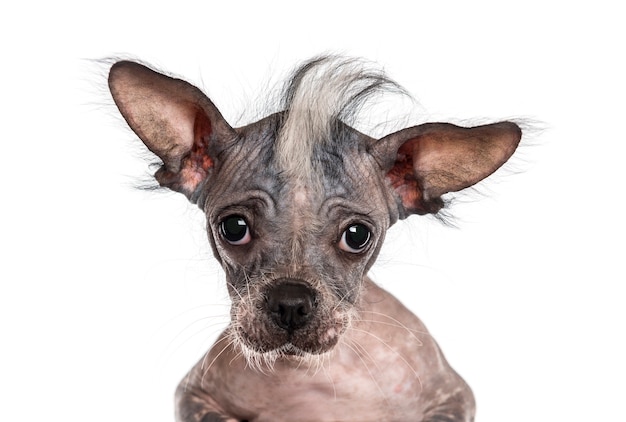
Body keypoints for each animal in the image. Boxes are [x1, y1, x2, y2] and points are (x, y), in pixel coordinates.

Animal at [109, 56, 520, 422]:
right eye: (234, 228)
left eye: (357, 235)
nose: (290, 302)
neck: (312, 373)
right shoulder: (193, 394)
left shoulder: (453, 395)